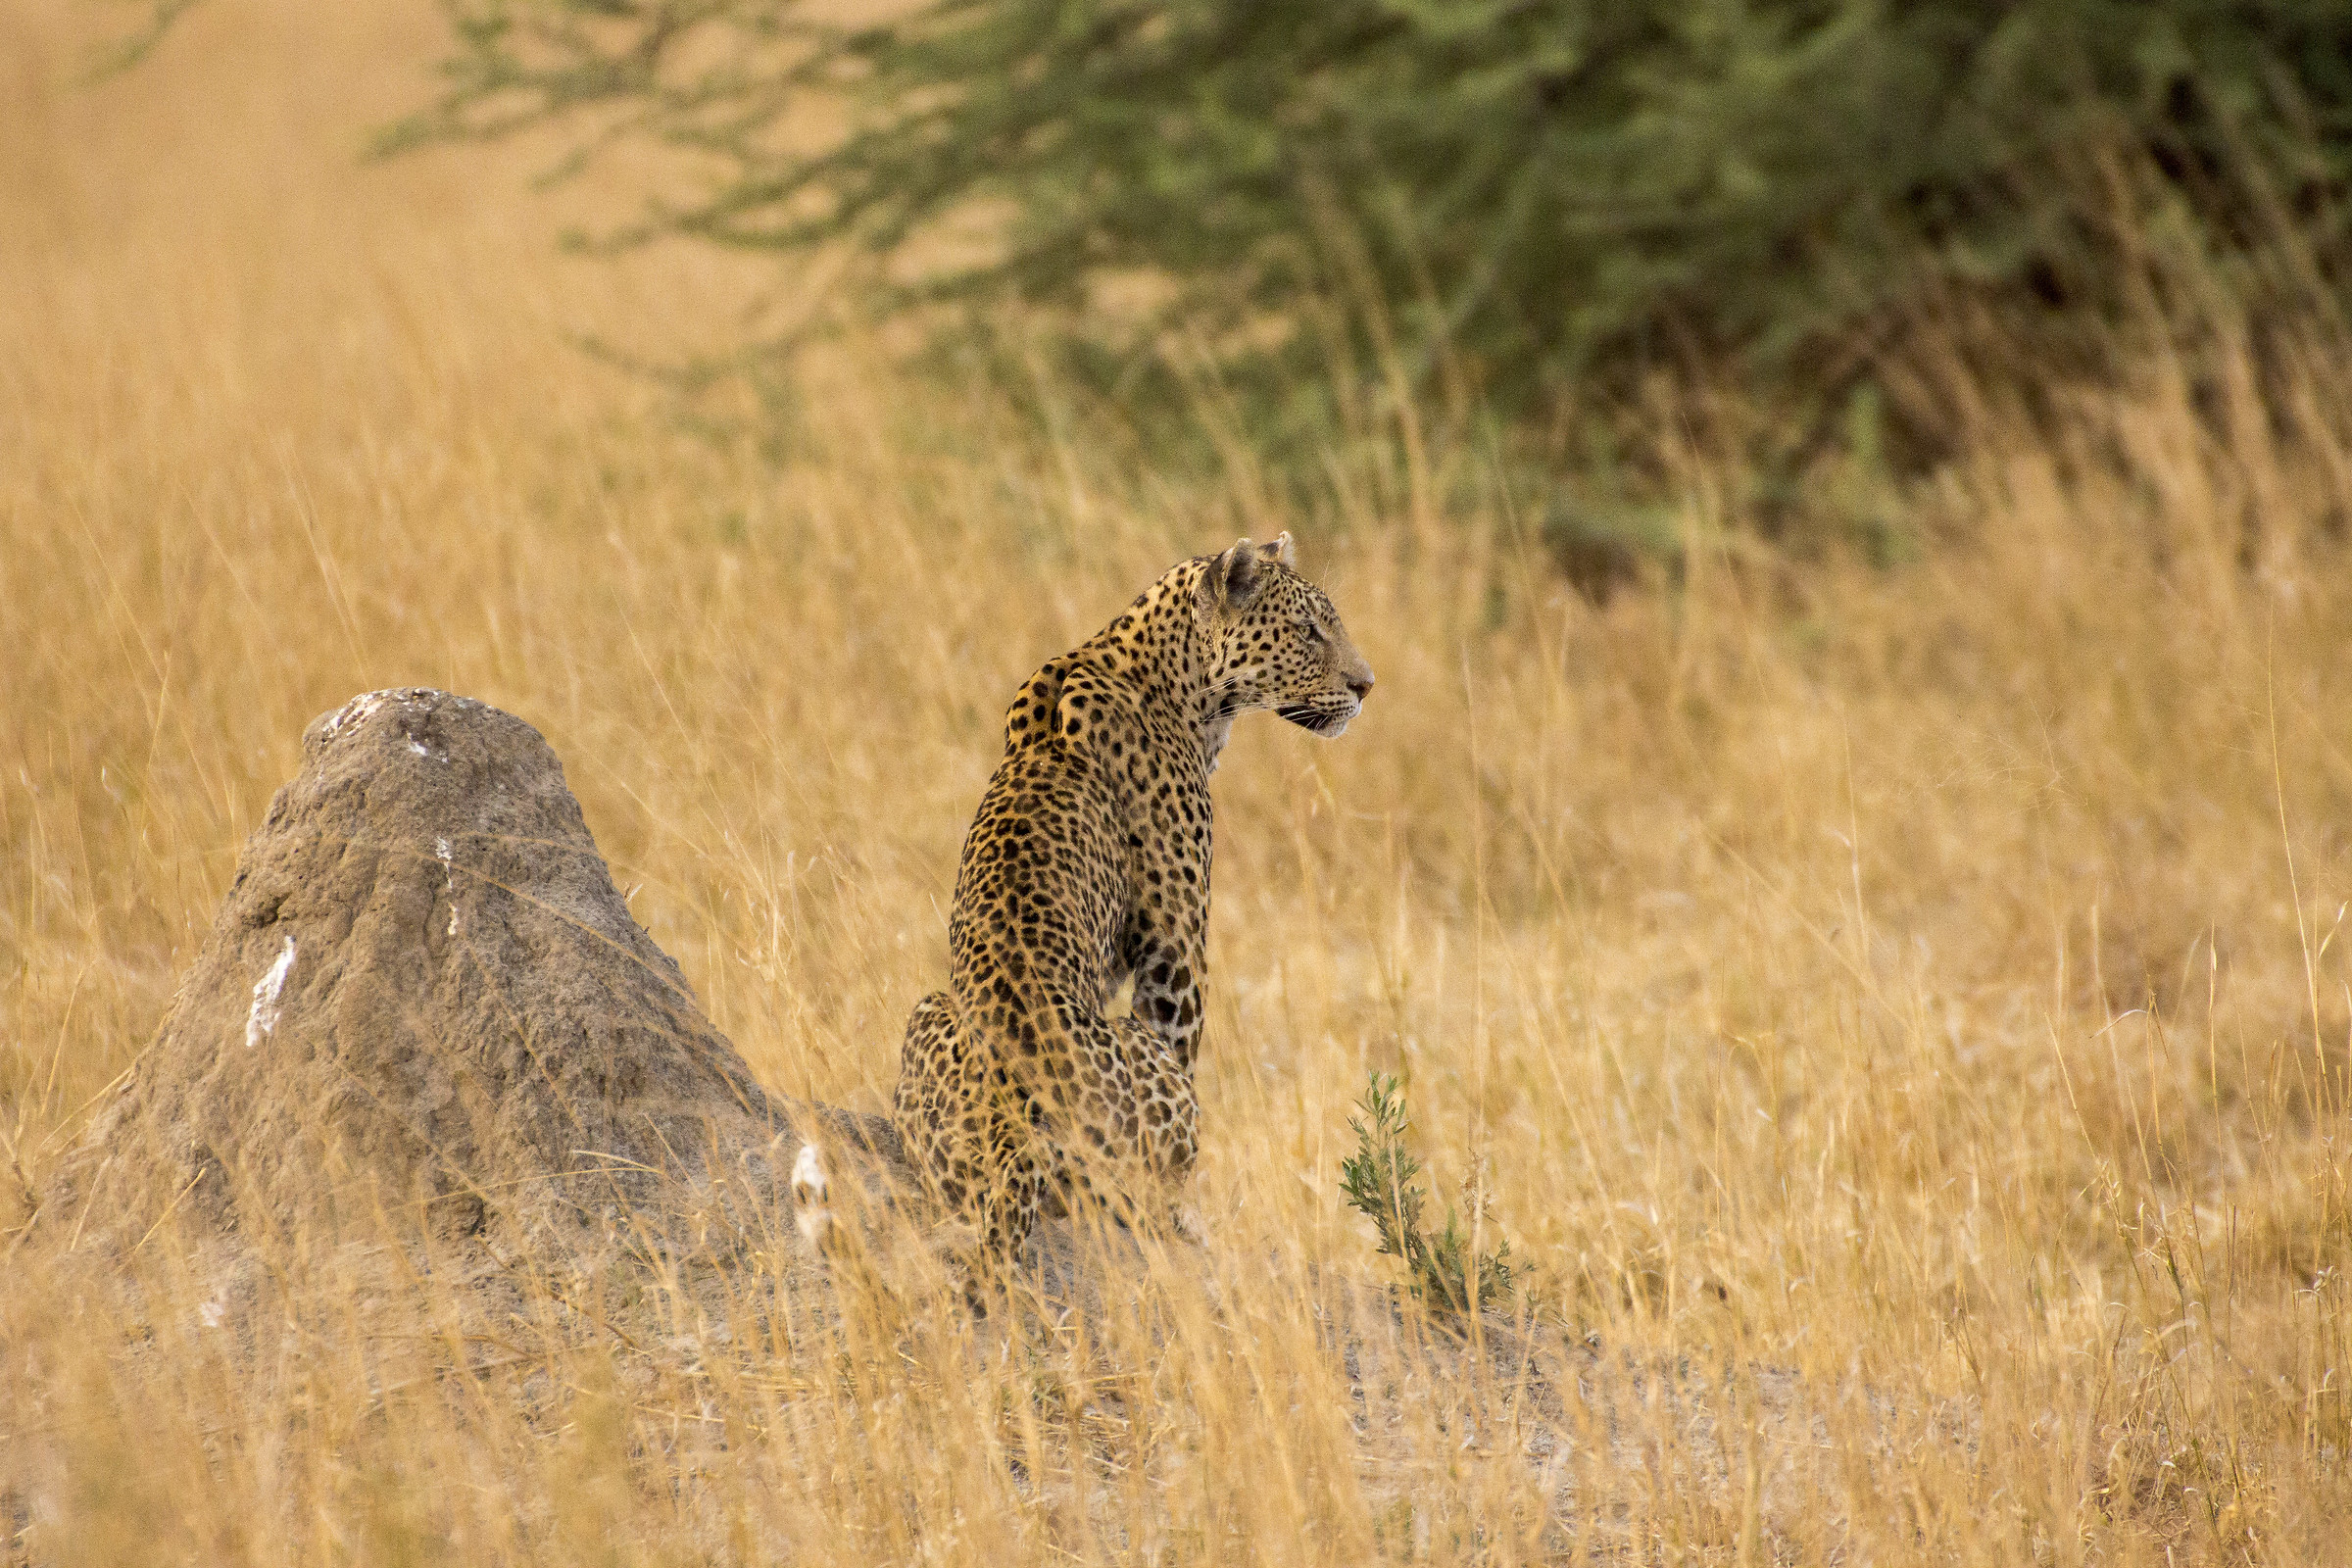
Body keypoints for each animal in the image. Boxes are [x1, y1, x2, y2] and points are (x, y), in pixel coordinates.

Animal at [792, 533, 1374, 1278]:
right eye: (1308, 630)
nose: (1365, 686)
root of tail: (1008, 1138)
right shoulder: (1174, 953)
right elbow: (1187, 1050)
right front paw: (1194, 1221)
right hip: (1128, 1065)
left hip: (927, 1012)